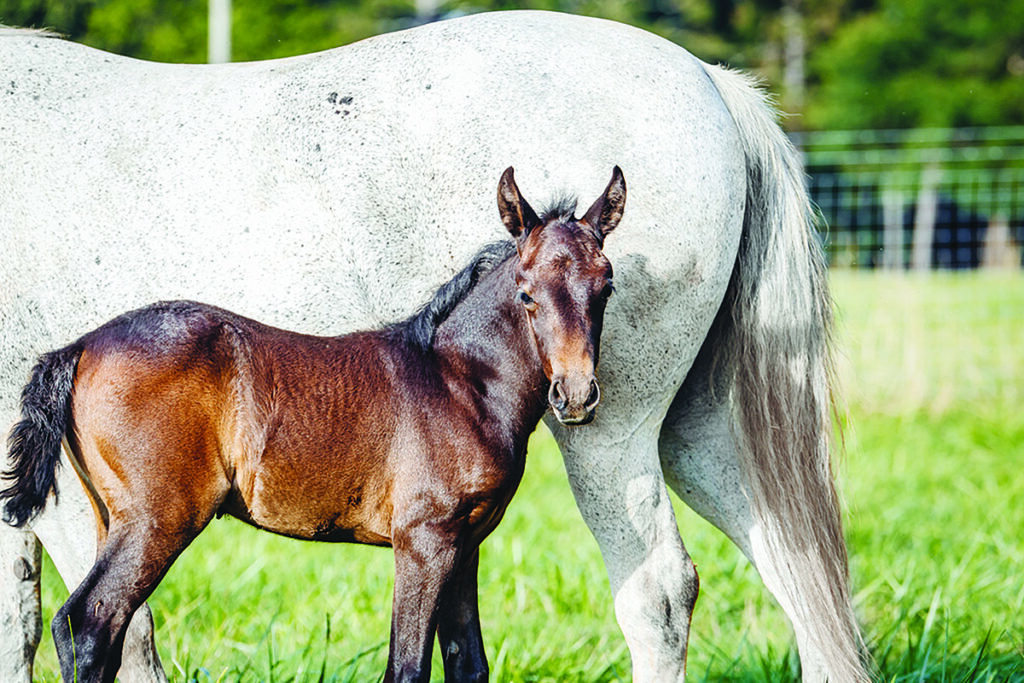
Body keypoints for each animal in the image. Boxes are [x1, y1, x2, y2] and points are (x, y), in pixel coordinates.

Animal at [0, 12, 868, 683]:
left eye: (608, 284)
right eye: (526, 292)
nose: (577, 391)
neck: (452, 378)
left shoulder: (449, 543)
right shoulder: (434, 543)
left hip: (630, 433)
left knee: (667, 588)